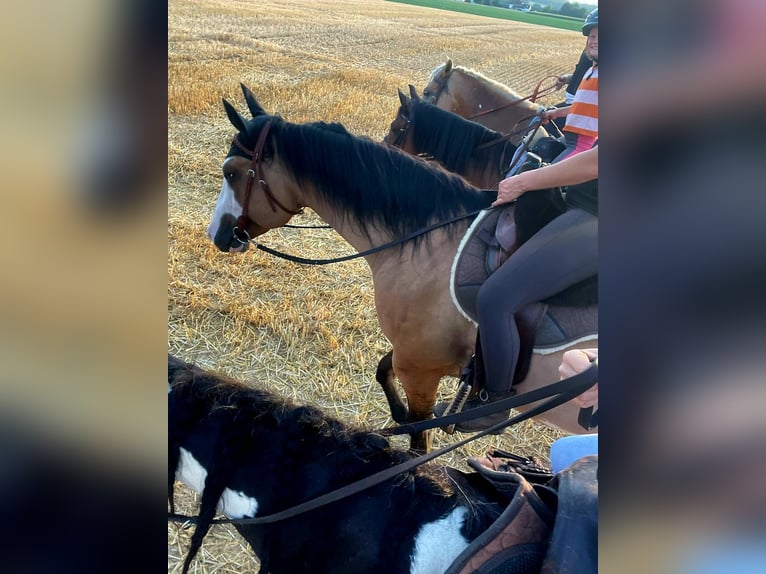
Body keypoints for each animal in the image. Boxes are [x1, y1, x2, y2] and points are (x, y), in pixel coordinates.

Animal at [206, 84, 597, 452]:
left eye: (231, 173)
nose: (217, 234)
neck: (431, 243)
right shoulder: (412, 354)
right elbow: (383, 369)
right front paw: (398, 413)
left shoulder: (420, 368)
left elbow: (417, 437)